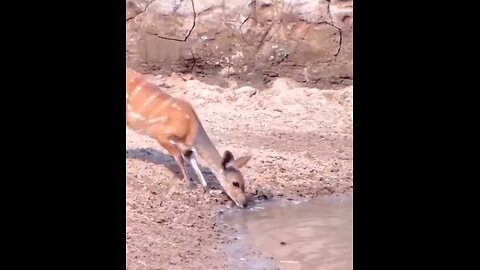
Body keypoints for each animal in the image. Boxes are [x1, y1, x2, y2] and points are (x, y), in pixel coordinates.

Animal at [125, 67, 253, 209]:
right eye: (235, 183)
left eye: (244, 182)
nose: (244, 203)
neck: (191, 128)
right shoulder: (161, 134)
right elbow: (179, 157)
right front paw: (189, 185)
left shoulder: (187, 147)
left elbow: (192, 161)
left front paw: (208, 190)